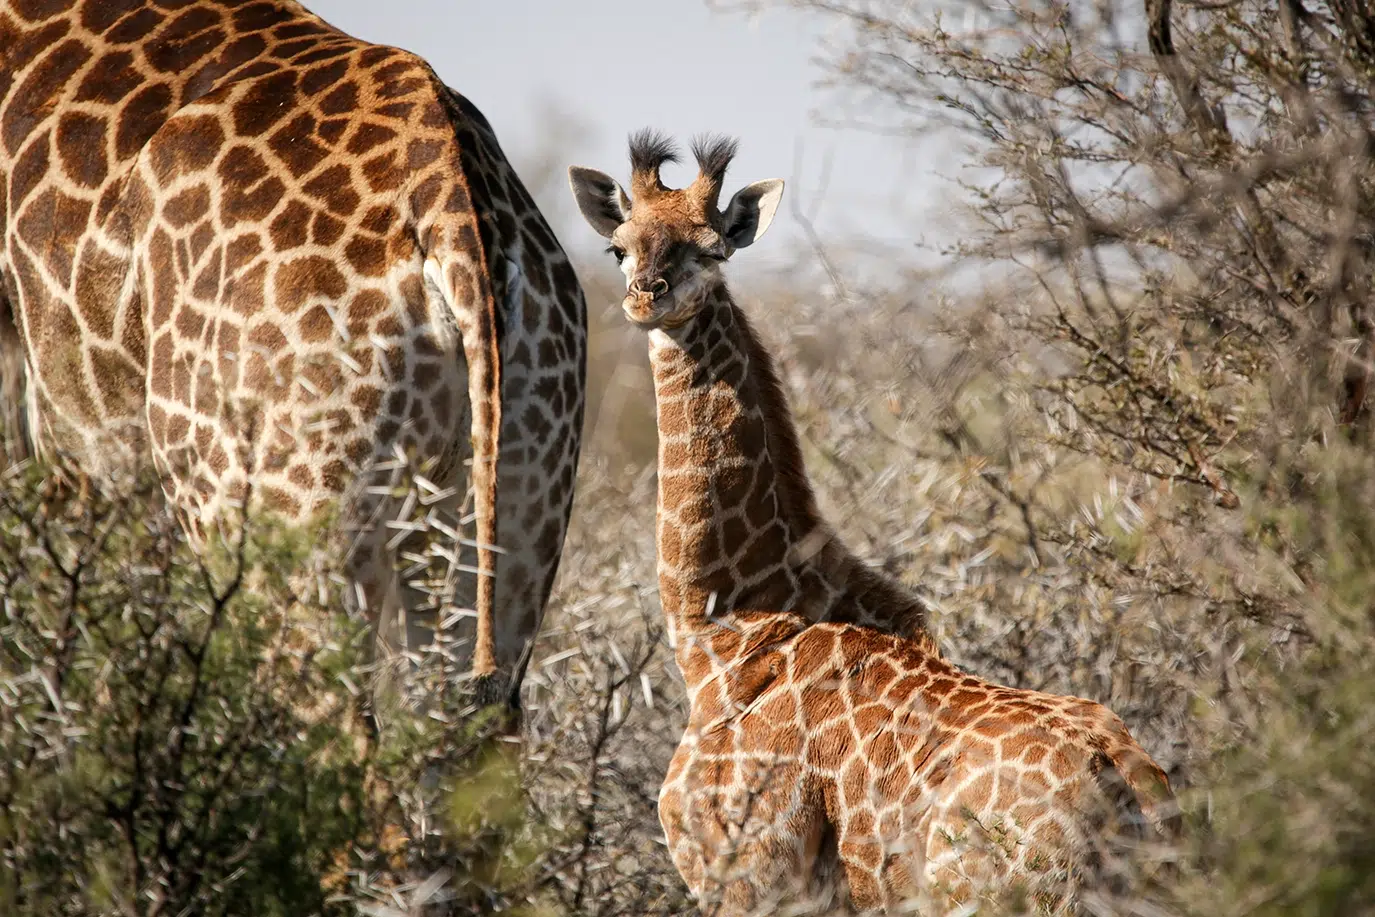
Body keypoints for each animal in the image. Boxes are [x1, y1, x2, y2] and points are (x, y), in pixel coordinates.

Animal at [569, 133, 1179, 913]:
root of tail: (1130, 786)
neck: (723, 636)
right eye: (618, 246)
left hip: (999, 896)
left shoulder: (751, 880)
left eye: (711, 248)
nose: (647, 295)